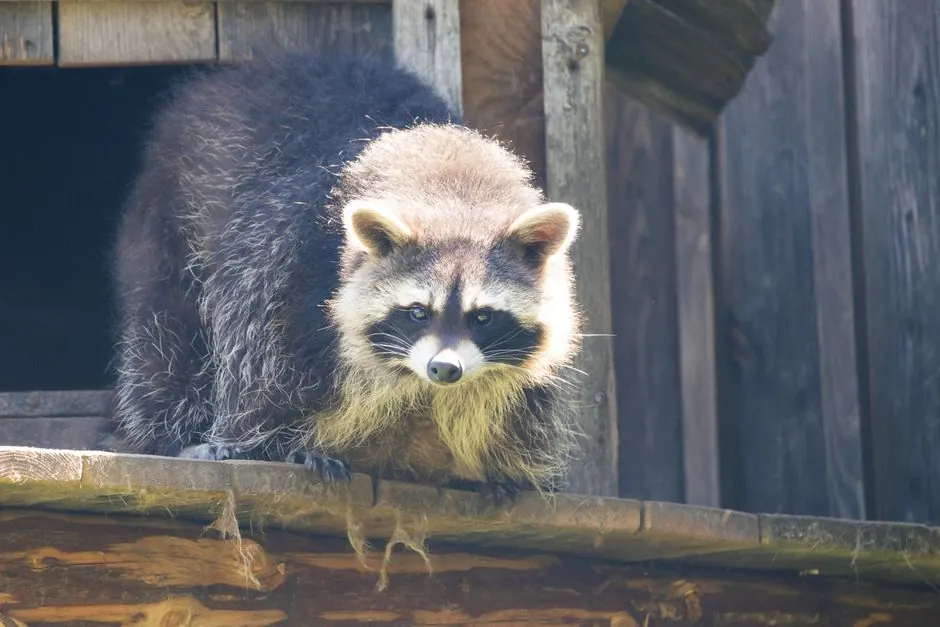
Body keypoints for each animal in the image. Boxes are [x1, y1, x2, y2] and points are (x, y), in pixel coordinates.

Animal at [106, 50, 583, 501]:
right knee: (168, 336)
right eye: (417, 312)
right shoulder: (286, 264)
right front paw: (285, 444)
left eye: (482, 316)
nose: (444, 369)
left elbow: (520, 407)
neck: (457, 195)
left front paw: (492, 466)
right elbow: (262, 375)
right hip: (170, 220)